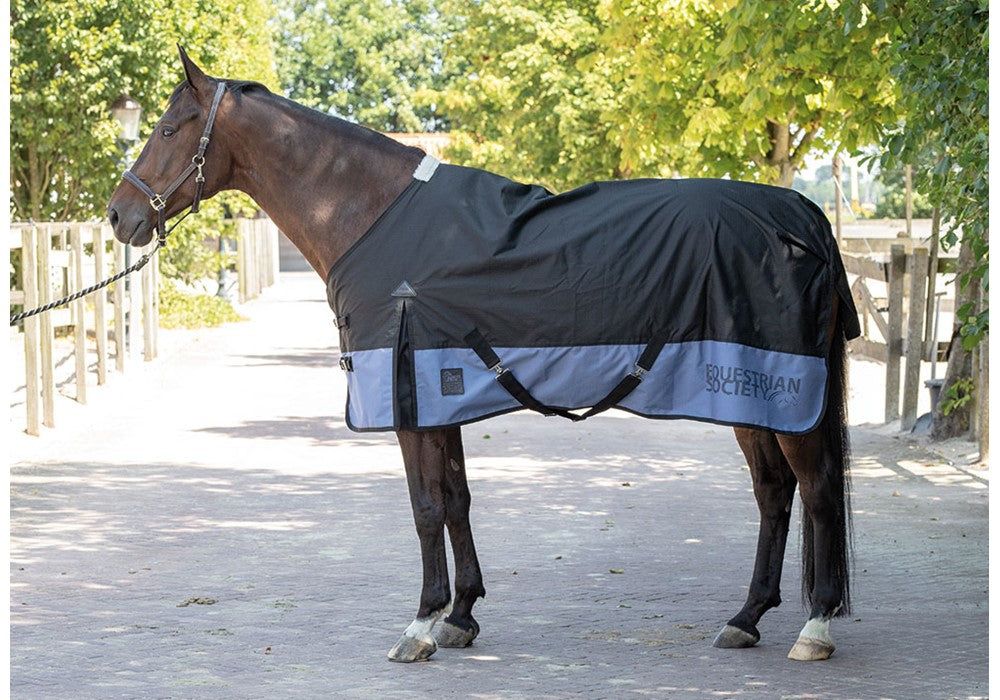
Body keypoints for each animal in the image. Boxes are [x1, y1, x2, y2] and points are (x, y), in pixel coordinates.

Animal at [107, 48, 857, 663]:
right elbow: (457, 499)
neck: (373, 215)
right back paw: (746, 618)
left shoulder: (408, 396)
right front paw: (461, 616)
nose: (119, 216)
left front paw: (419, 625)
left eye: (169, 129)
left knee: (816, 488)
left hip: (778, 390)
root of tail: (804, 216)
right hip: (745, 392)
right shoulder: (444, 390)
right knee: (774, 492)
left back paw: (815, 627)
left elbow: (424, 508)